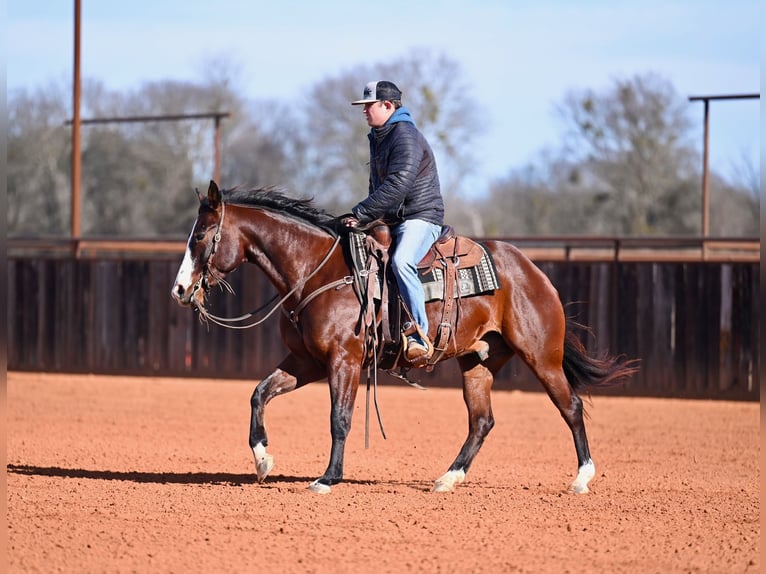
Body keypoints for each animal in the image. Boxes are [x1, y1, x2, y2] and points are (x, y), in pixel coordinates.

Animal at [171, 181, 638, 494]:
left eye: (200, 236)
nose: (179, 290)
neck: (316, 272)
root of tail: (532, 270)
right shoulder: (307, 361)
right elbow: (259, 394)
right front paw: (263, 460)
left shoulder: (344, 360)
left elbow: (339, 419)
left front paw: (328, 478)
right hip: (478, 362)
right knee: (481, 421)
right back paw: (448, 478)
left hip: (541, 355)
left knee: (570, 406)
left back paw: (582, 477)